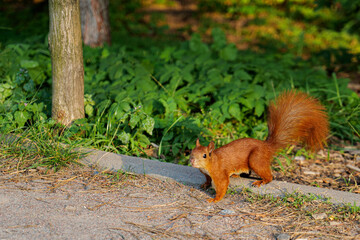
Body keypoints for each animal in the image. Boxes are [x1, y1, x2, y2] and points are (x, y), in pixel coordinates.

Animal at [191, 90, 330, 202]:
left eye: (204, 155)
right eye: (191, 152)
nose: (192, 161)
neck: (211, 162)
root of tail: (267, 146)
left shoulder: (219, 173)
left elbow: (222, 186)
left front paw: (215, 199)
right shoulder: (206, 173)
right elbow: (208, 180)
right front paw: (205, 185)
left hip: (256, 159)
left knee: (269, 176)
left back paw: (260, 181)